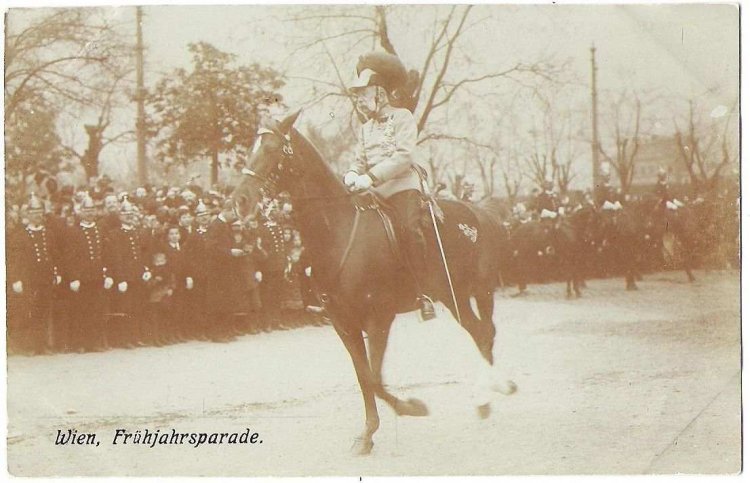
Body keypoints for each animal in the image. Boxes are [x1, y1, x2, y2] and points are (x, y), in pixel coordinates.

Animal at [232, 111, 516, 455]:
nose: (239, 201)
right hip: (454, 296)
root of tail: (484, 214)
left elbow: (375, 377)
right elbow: (364, 376)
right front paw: (367, 434)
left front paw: (412, 407)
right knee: (480, 333)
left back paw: (487, 393)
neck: (339, 231)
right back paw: (489, 396)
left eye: (272, 148)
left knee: (485, 333)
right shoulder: (344, 324)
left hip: (480, 290)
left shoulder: (379, 318)